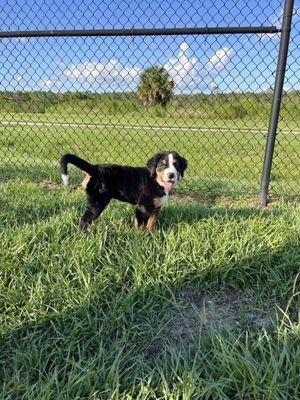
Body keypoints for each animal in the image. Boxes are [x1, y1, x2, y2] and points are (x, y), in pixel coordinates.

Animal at [60, 151, 188, 231]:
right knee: (84, 220)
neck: (156, 181)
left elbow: (151, 224)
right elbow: (139, 226)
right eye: (162, 164)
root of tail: (94, 168)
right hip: (97, 203)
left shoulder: (156, 208)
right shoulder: (142, 207)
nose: (171, 175)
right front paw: (139, 241)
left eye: (176, 165)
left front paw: (152, 236)